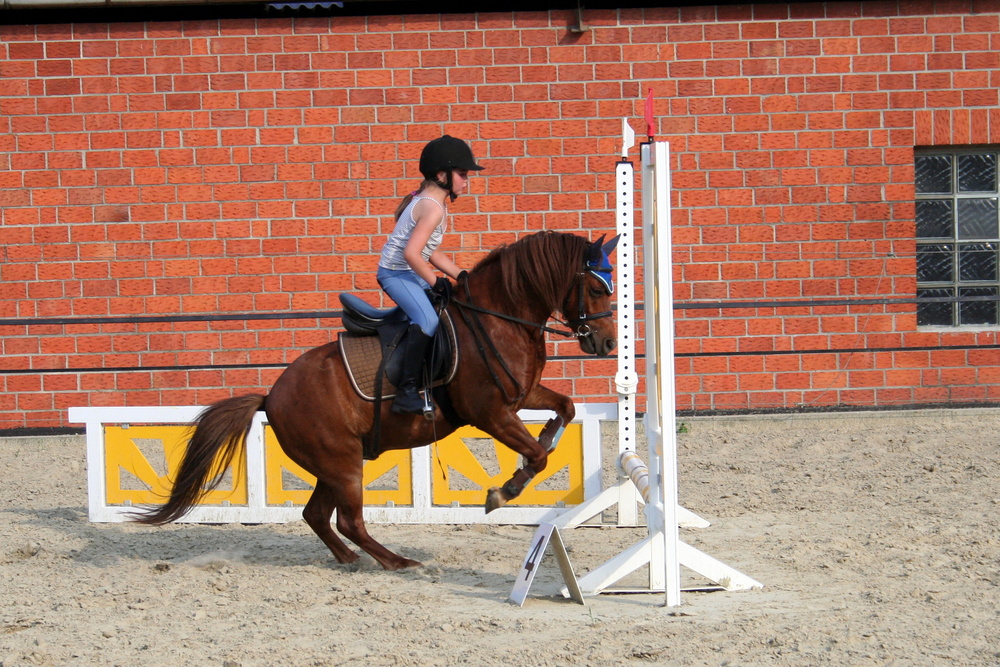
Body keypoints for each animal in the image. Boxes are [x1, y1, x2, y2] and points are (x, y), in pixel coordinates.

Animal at [136, 232, 612, 572]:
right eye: (594, 287)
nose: (606, 343)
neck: (499, 319)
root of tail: (272, 395)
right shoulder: (491, 414)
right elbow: (538, 457)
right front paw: (503, 491)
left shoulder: (523, 396)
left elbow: (565, 410)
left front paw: (539, 448)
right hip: (343, 464)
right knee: (348, 520)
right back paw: (397, 561)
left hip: (334, 465)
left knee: (316, 515)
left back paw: (351, 559)